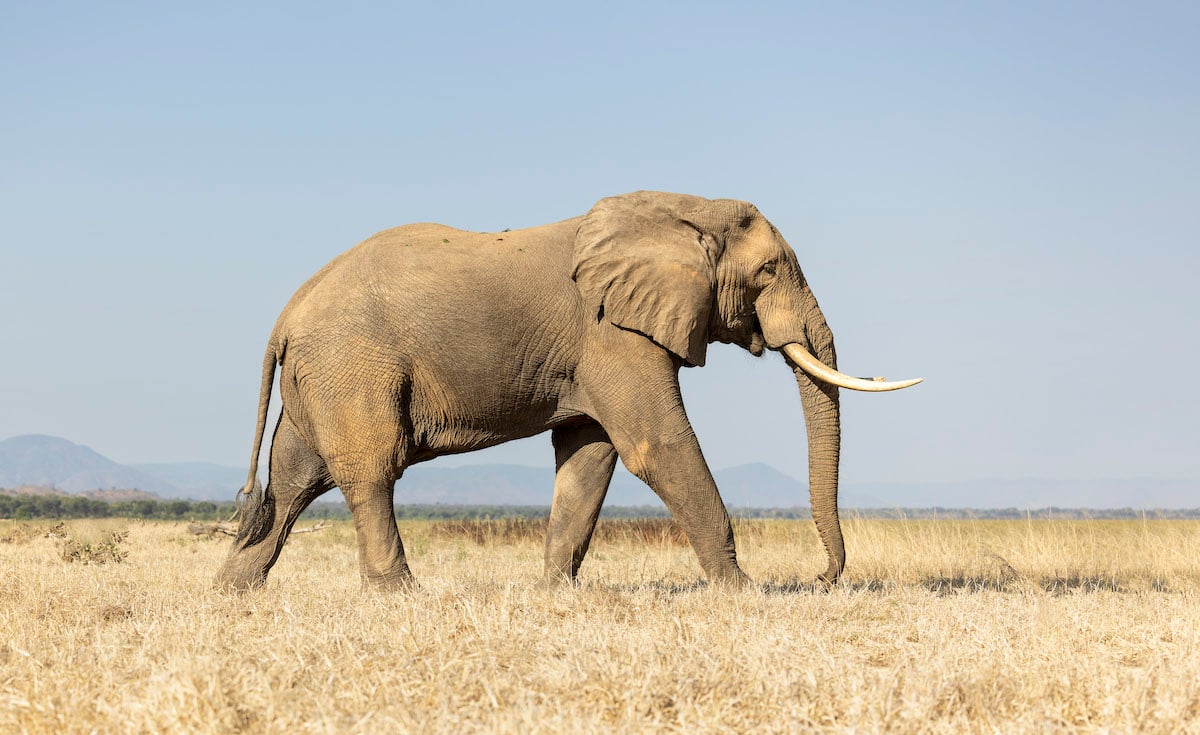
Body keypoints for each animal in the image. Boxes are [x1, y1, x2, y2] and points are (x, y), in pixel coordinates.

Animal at [215, 191, 920, 592]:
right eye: (769, 271)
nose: (820, 579)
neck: (676, 209)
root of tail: (285, 317)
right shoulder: (611, 332)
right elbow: (656, 446)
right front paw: (743, 594)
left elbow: (589, 457)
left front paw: (555, 594)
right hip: (354, 367)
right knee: (371, 473)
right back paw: (398, 597)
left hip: (322, 377)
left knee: (293, 479)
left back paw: (231, 594)